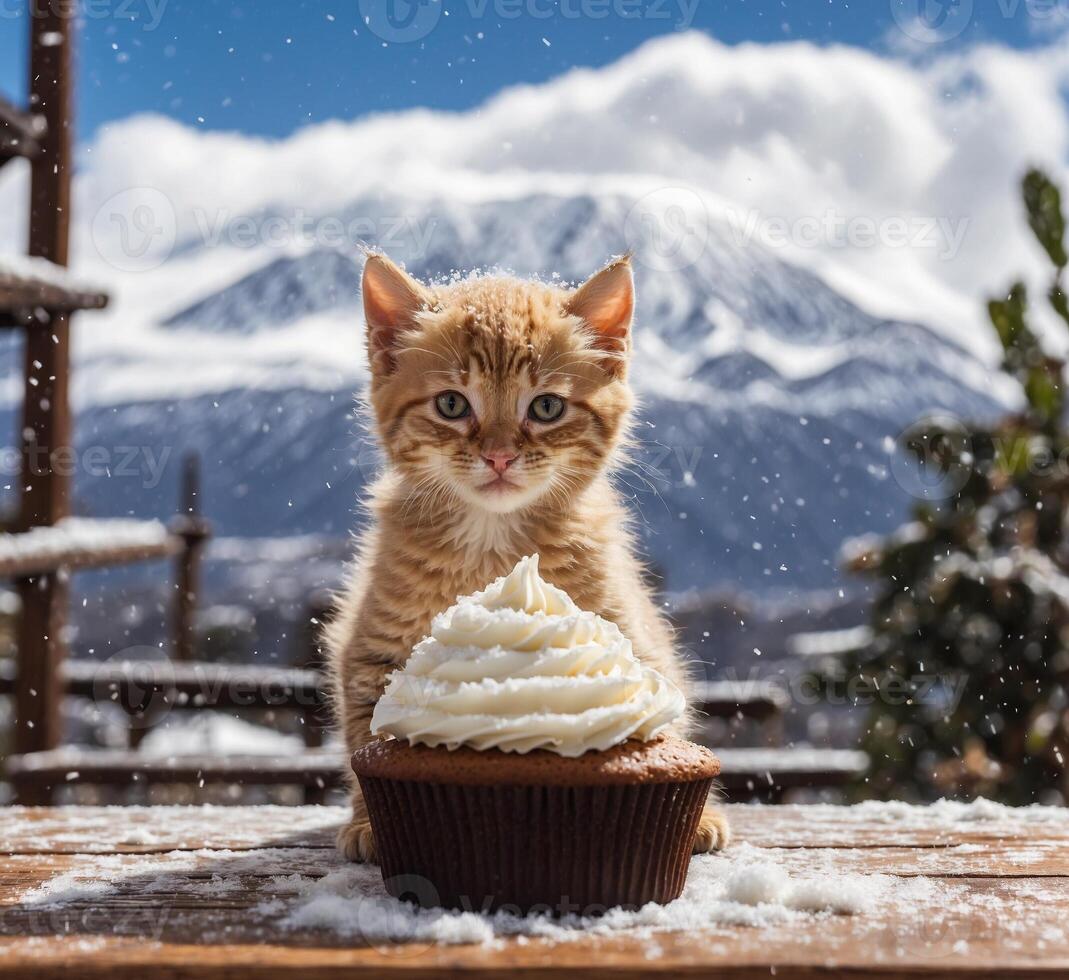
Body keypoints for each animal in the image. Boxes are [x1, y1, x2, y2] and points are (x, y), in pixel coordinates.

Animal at [324, 254, 726, 863]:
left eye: (546, 407)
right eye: (451, 404)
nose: (498, 455)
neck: (496, 548)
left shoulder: (634, 635)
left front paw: (702, 815)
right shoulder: (371, 647)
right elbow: (366, 731)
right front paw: (370, 821)